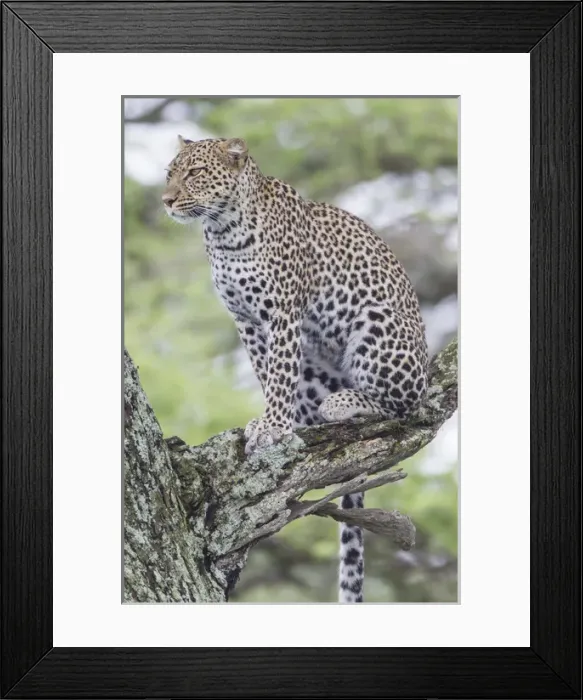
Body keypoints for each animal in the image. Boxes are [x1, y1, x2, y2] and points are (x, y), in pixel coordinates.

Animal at [163, 136, 428, 603]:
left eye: (195, 173)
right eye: (169, 174)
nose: (167, 199)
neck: (224, 233)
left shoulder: (284, 312)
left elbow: (280, 371)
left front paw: (273, 428)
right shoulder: (246, 321)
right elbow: (267, 372)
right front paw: (269, 422)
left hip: (379, 324)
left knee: (405, 408)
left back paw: (344, 403)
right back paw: (310, 419)